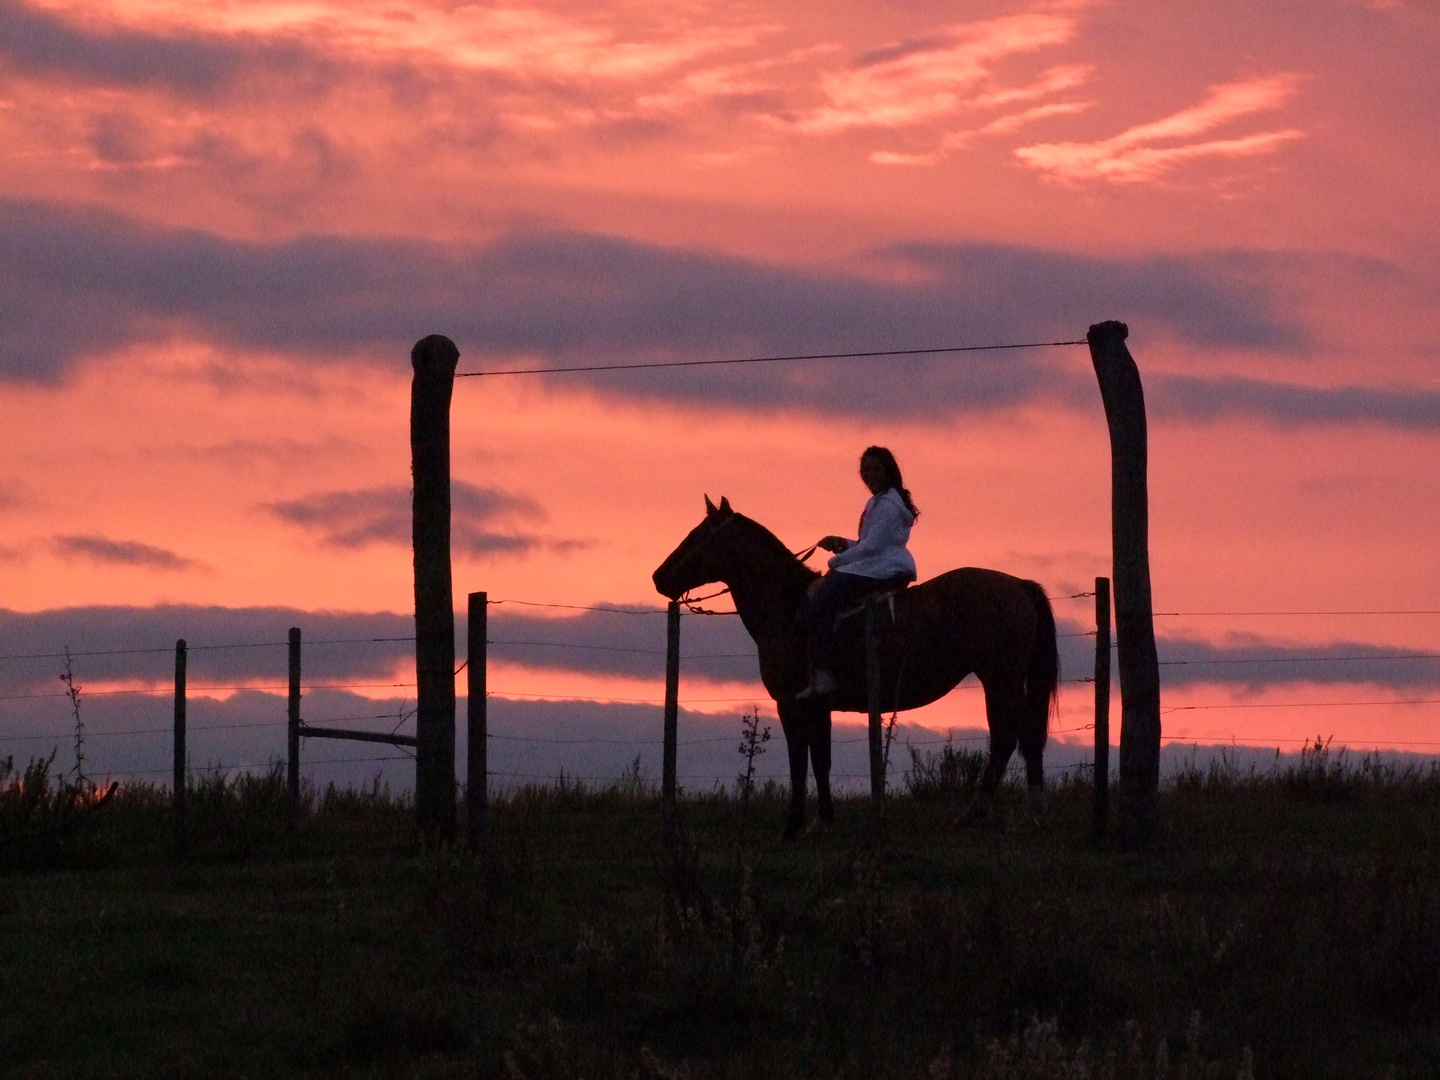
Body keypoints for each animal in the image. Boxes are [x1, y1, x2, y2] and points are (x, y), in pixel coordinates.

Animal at [653, 498, 1059, 835]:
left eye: (697, 537)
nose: (659, 578)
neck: (789, 610)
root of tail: (1018, 586)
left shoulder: (791, 704)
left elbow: (799, 760)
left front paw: (793, 824)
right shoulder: (818, 706)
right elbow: (821, 760)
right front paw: (823, 820)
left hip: (1001, 679)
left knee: (1012, 736)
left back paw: (1008, 811)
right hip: (999, 680)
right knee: (1013, 736)